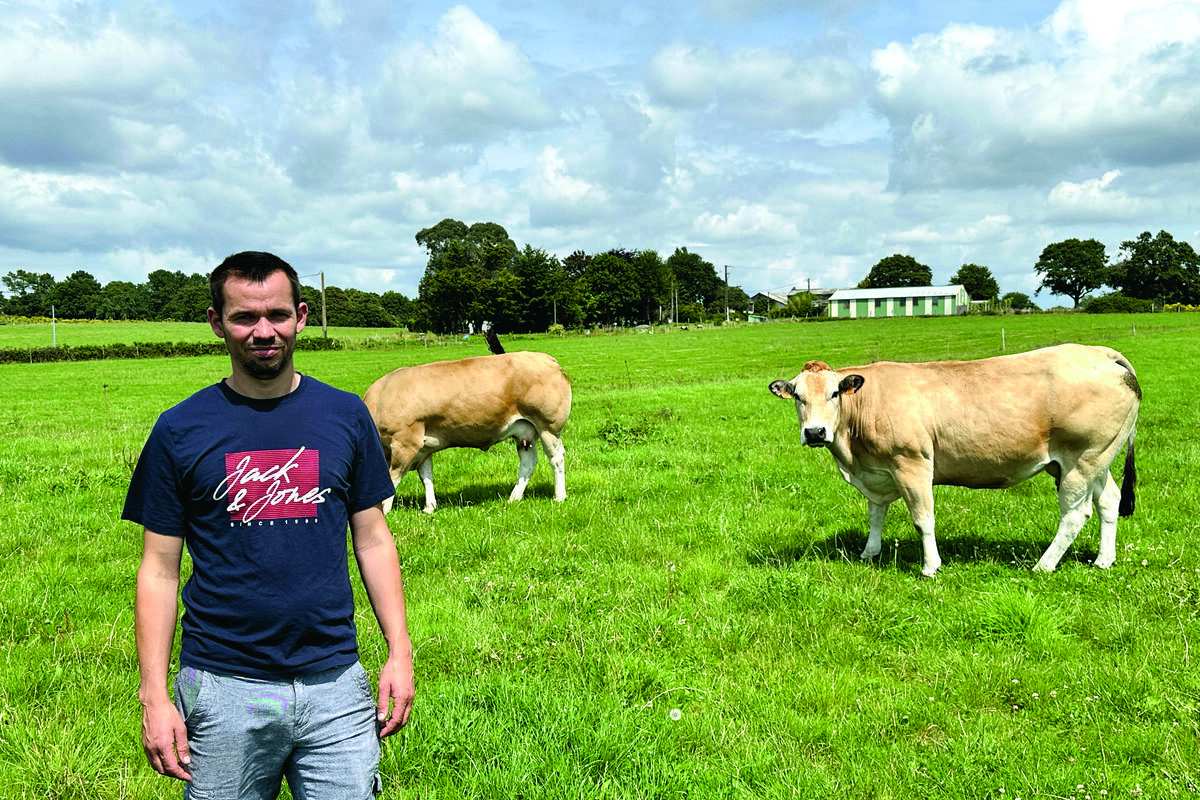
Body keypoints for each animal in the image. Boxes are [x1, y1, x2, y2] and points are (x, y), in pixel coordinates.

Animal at [364, 352, 571, 515]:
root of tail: (545, 357)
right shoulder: (423, 448)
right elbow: (426, 477)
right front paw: (429, 507)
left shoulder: (406, 442)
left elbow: (393, 477)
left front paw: (384, 510)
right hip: (525, 432)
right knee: (529, 462)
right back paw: (514, 497)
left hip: (548, 426)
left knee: (556, 458)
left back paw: (559, 496)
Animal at [772, 345, 1137, 575]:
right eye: (798, 397)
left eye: (834, 393)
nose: (815, 432)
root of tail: (1102, 353)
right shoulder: (877, 472)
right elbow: (876, 515)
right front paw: (869, 553)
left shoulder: (912, 465)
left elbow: (923, 520)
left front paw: (930, 567)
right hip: (1098, 459)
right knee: (1109, 501)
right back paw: (1104, 560)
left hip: (1080, 461)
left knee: (1076, 514)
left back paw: (1043, 565)